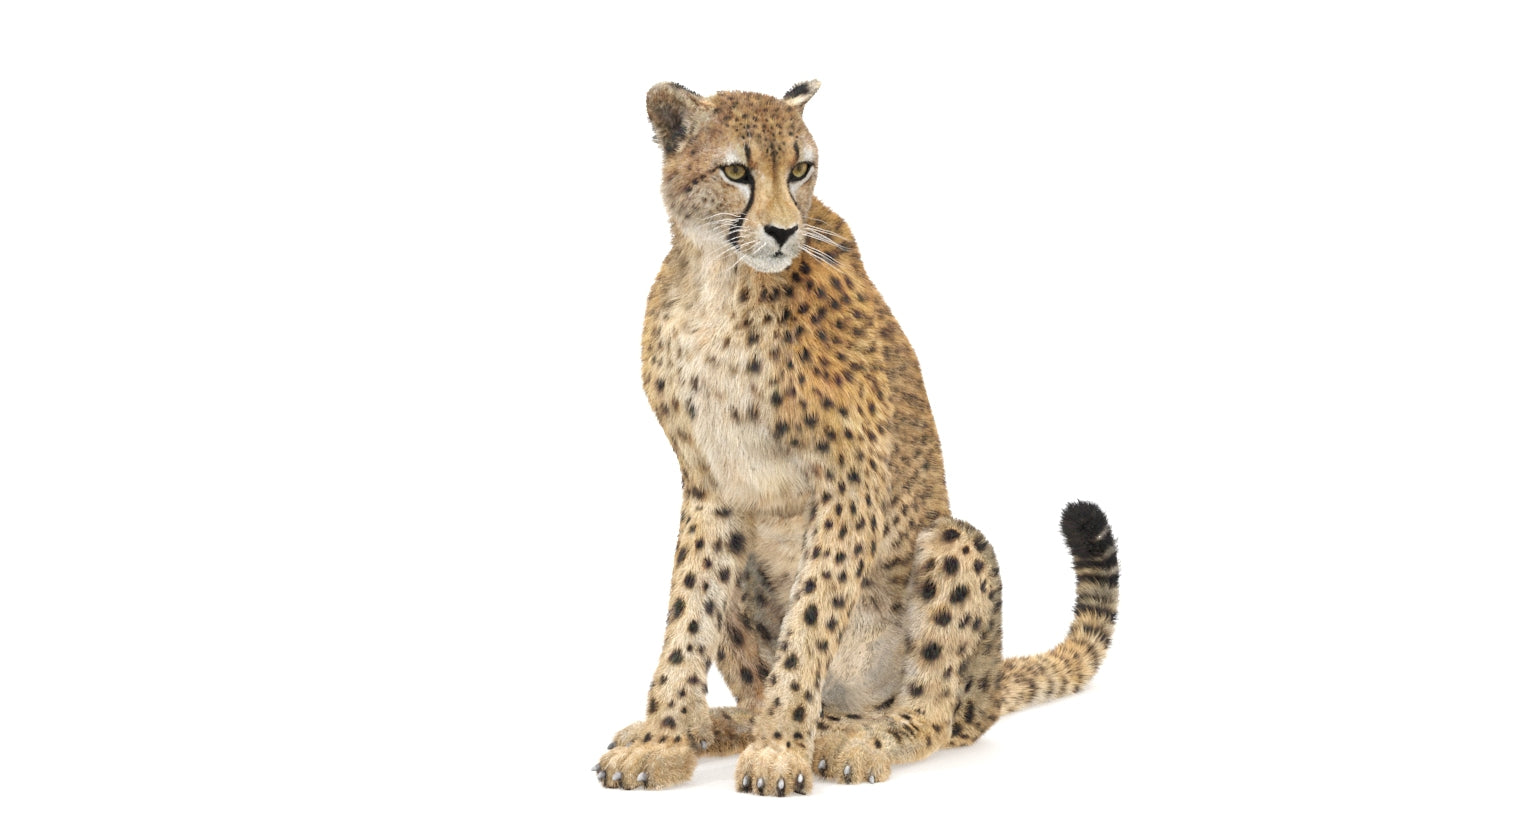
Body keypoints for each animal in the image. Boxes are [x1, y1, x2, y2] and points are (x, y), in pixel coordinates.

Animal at [594, 80, 1120, 795]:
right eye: (736, 171)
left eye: (800, 169)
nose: (783, 230)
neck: (717, 277)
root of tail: (987, 684)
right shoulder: (709, 486)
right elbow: (689, 612)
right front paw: (665, 739)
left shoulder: (852, 477)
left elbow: (811, 617)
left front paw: (779, 751)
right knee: (754, 676)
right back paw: (729, 725)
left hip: (956, 551)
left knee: (932, 716)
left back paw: (858, 738)